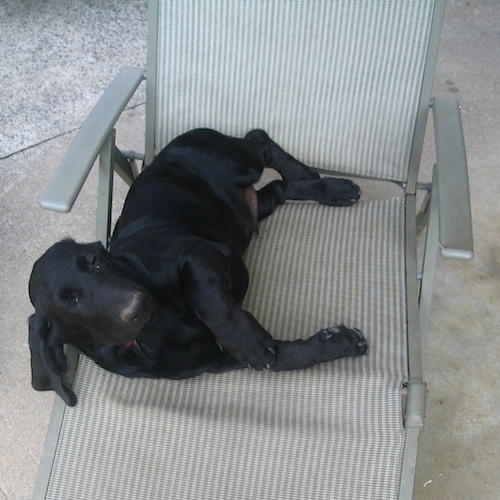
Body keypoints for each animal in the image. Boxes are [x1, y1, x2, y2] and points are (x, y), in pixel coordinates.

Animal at [28, 129, 368, 406]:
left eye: (96, 262)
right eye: (71, 302)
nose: (137, 304)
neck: (155, 329)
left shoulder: (199, 254)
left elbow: (213, 305)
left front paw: (250, 342)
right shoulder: (218, 360)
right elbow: (292, 356)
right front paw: (341, 343)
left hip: (238, 160)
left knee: (260, 141)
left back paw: (316, 177)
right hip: (252, 208)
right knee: (278, 188)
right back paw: (325, 188)